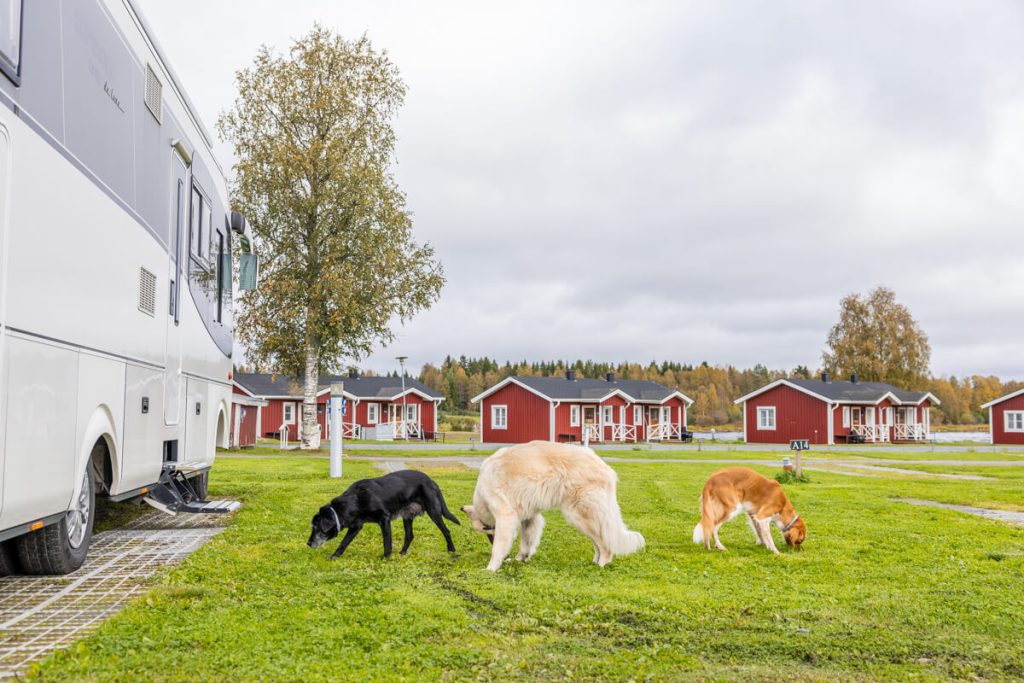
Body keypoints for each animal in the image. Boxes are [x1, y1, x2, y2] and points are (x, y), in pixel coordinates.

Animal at [305, 471, 462, 561]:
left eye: (316, 528)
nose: (308, 543)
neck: (355, 500)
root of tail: (431, 480)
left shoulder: (384, 519)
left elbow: (387, 542)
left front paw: (385, 558)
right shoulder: (356, 527)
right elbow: (343, 543)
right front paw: (334, 556)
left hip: (433, 511)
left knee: (446, 531)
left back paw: (451, 550)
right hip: (407, 515)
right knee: (409, 535)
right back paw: (402, 553)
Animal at [462, 440, 643, 569]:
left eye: (488, 530)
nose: (490, 538)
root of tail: (606, 468)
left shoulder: (505, 514)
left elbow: (499, 547)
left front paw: (491, 568)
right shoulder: (530, 517)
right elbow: (527, 541)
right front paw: (520, 559)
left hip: (580, 515)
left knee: (605, 545)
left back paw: (602, 564)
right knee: (599, 542)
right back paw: (595, 562)